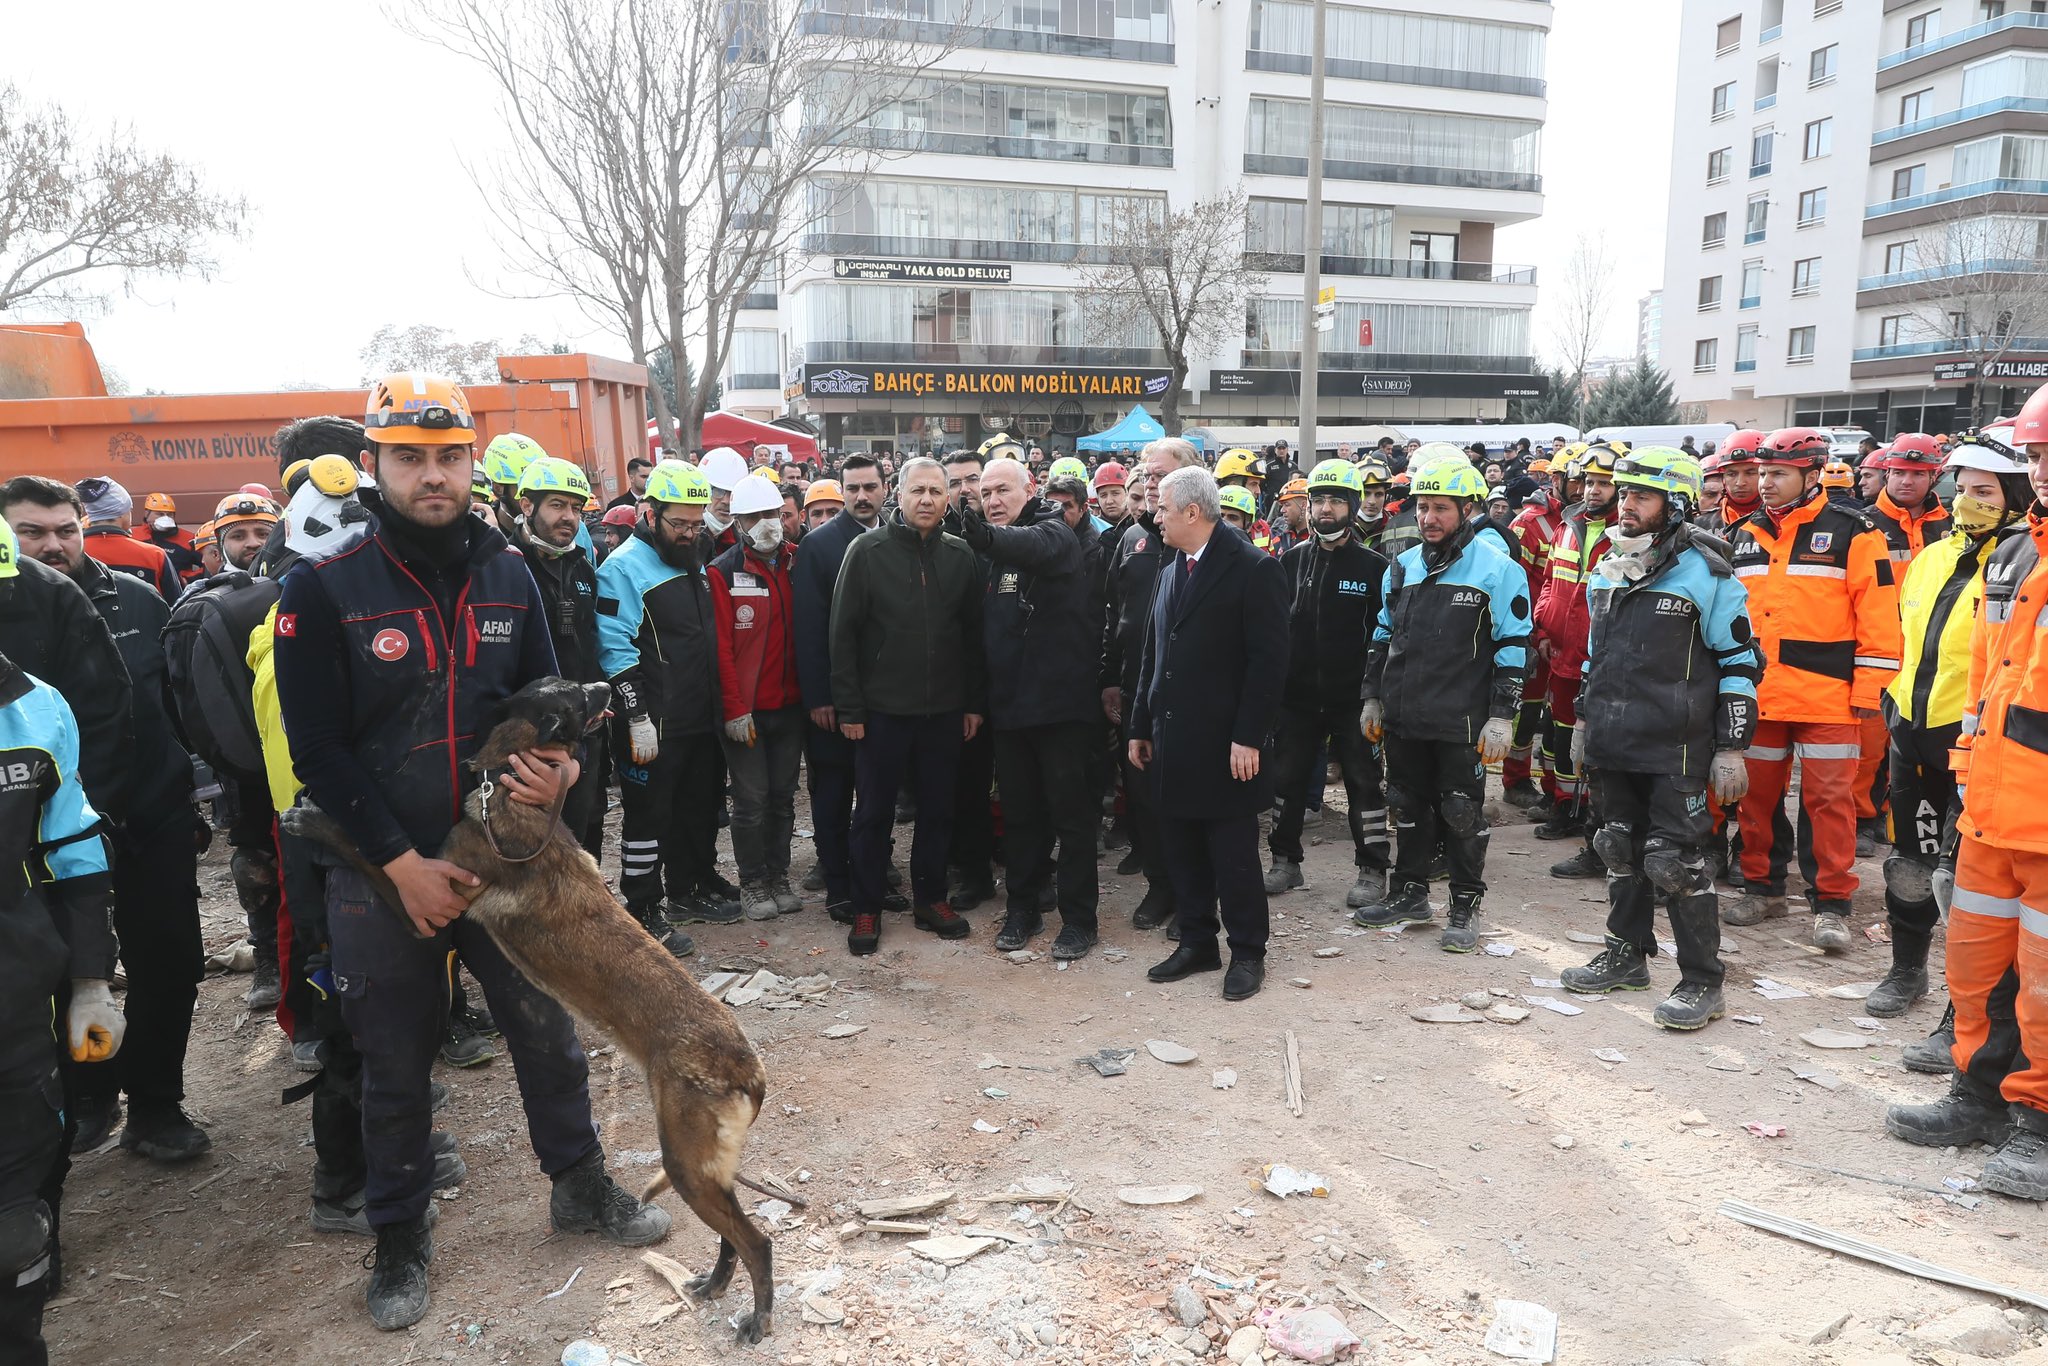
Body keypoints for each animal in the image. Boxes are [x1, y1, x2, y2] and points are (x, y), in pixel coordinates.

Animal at [292, 679, 786, 1343]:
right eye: (573, 694)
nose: (610, 683)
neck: (509, 794)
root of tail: (747, 1068)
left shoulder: (428, 905)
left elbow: (365, 852)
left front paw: (312, 818)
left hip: (686, 1164)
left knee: (756, 1241)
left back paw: (755, 1316)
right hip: (702, 1169)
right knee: (734, 1235)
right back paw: (711, 1284)